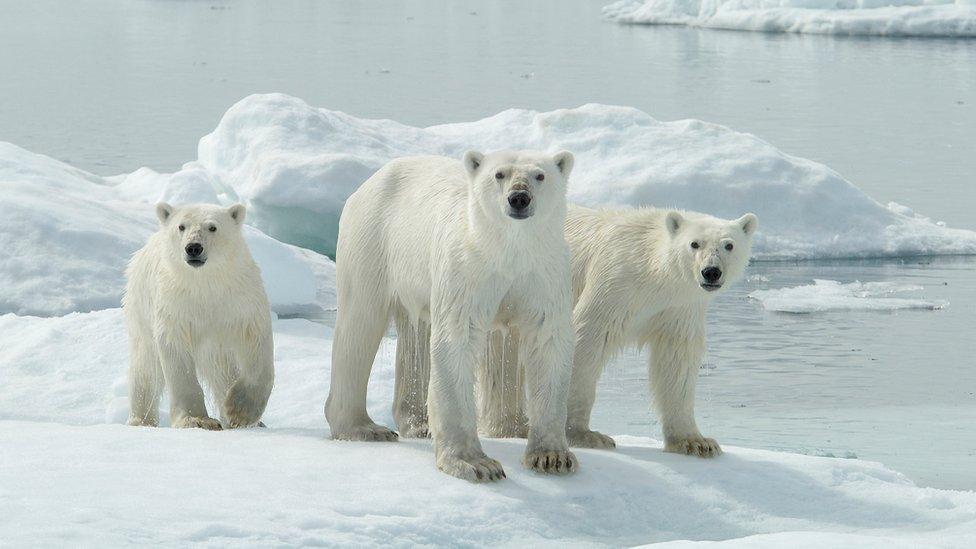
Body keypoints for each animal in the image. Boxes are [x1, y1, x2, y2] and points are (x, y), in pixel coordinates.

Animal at [125, 201, 274, 428]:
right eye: (181, 226)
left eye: (212, 227)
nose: (193, 247)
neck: (204, 283)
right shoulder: (175, 305)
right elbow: (177, 356)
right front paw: (197, 420)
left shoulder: (240, 300)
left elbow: (256, 344)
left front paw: (239, 412)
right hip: (141, 310)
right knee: (146, 368)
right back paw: (140, 420)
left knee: (222, 371)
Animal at [326, 149, 580, 480]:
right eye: (499, 174)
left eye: (540, 175)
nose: (519, 198)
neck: (507, 250)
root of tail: (372, 179)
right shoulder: (467, 270)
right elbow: (457, 339)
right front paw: (476, 463)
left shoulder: (544, 274)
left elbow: (548, 342)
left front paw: (551, 456)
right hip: (373, 241)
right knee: (359, 325)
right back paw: (364, 428)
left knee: (417, 333)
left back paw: (421, 423)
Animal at [392, 206, 760, 454]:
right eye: (694, 244)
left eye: (728, 245)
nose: (711, 272)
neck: (652, 274)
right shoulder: (615, 282)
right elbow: (586, 339)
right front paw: (584, 434)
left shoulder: (679, 308)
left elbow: (676, 362)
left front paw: (695, 441)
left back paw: (512, 424)